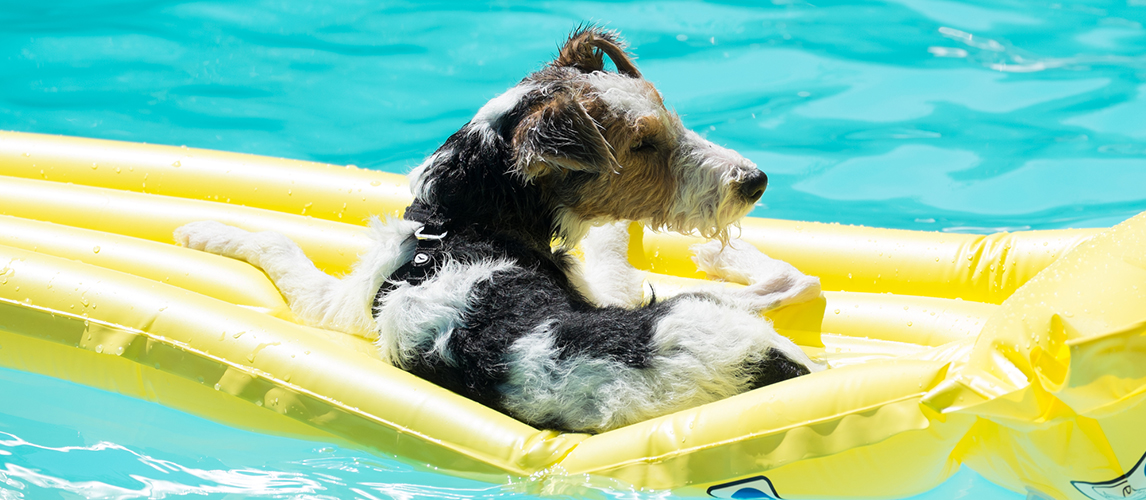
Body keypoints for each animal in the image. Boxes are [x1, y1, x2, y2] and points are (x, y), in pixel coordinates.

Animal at [174, 27, 825, 433]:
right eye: (642, 144)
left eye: (671, 116)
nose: (756, 181)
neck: (455, 221)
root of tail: (769, 369)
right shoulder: (335, 308)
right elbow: (277, 240)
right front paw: (202, 229)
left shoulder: (339, 308)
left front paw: (199, 229)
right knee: (794, 283)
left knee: (797, 282)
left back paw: (725, 259)